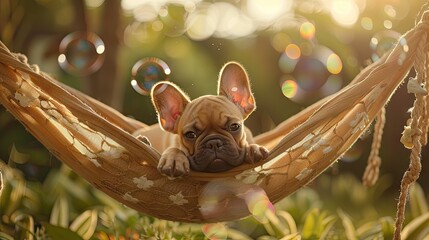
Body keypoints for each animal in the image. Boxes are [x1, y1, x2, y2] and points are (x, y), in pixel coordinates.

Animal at [134, 61, 268, 178]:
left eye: (234, 126)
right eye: (190, 134)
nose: (213, 143)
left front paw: (253, 149)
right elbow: (175, 149)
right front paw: (173, 158)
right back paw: (142, 141)